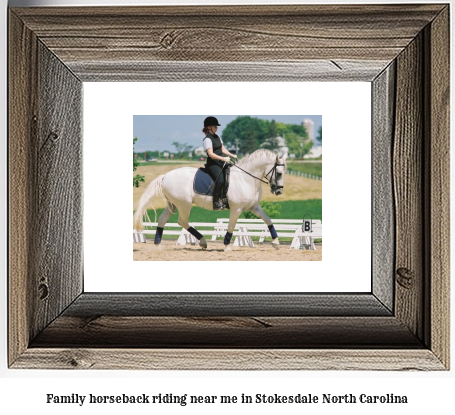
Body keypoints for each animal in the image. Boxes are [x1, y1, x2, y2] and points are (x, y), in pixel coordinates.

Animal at [134, 150, 286, 252]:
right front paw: (227, 246)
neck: (246, 178)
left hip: (173, 205)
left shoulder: (254, 206)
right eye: (279, 173)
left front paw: (276, 242)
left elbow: (268, 220)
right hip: (184, 204)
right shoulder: (236, 209)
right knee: (182, 221)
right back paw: (203, 242)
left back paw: (158, 245)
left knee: (162, 220)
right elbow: (231, 226)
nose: (279, 192)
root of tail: (165, 176)